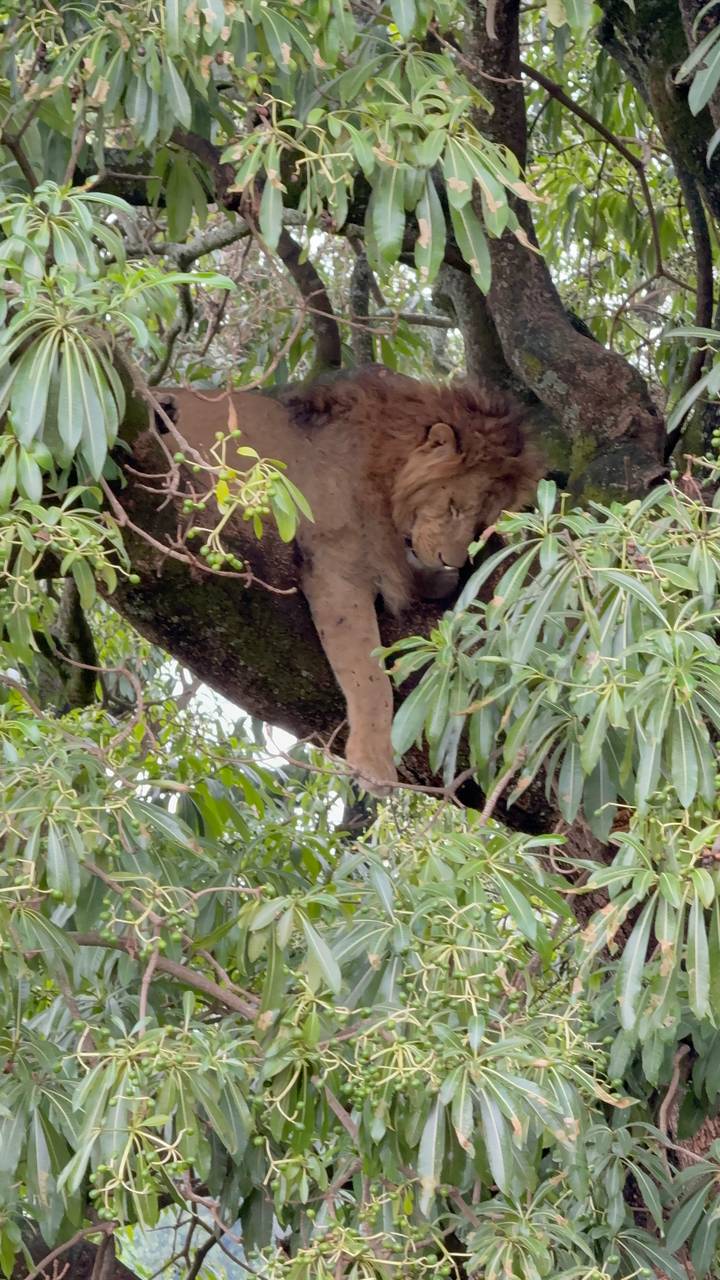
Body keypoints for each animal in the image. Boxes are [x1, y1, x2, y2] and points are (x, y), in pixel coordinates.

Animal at [152, 365, 542, 792]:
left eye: (481, 526)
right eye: (454, 507)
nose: (451, 560)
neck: (382, 465)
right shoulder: (335, 566)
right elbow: (368, 677)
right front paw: (373, 764)